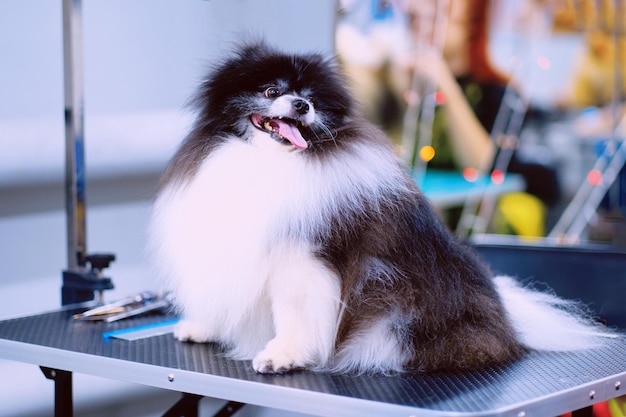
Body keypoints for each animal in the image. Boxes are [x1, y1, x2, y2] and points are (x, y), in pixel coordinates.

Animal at [150, 41, 608, 374]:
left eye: (311, 99)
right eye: (272, 92)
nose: (301, 106)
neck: (269, 164)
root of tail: (508, 322)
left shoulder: (303, 261)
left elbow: (293, 316)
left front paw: (283, 355)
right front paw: (203, 327)